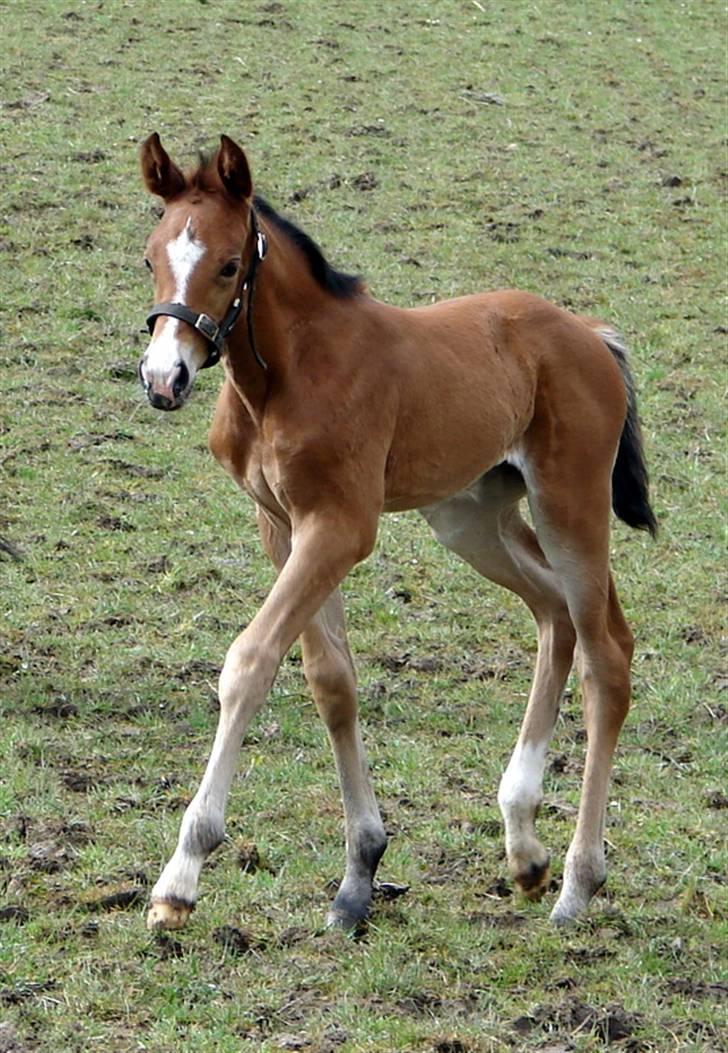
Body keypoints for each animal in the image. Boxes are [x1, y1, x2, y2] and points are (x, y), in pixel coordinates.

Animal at [138, 131, 661, 930]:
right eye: (150, 258)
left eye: (228, 265)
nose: (163, 378)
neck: (289, 376)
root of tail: (593, 335)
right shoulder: (283, 525)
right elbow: (331, 680)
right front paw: (359, 874)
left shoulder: (340, 527)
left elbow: (250, 662)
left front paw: (181, 877)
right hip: (471, 514)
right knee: (555, 615)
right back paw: (523, 845)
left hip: (569, 502)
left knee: (607, 653)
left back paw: (577, 884)